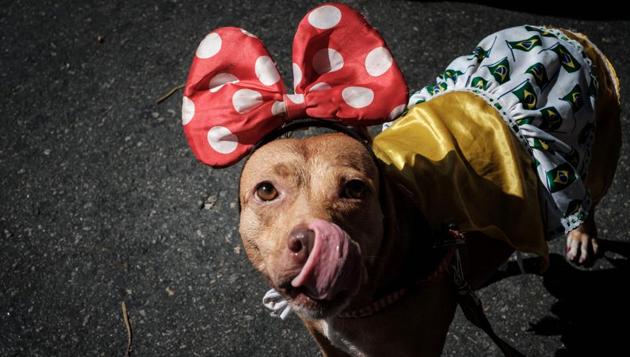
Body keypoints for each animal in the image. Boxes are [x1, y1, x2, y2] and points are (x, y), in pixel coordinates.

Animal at [237, 31, 624, 356]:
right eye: (266, 191)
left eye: (354, 188)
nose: (311, 241)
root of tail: (563, 35)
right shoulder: (326, 341)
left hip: (595, 152)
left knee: (584, 199)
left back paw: (582, 236)